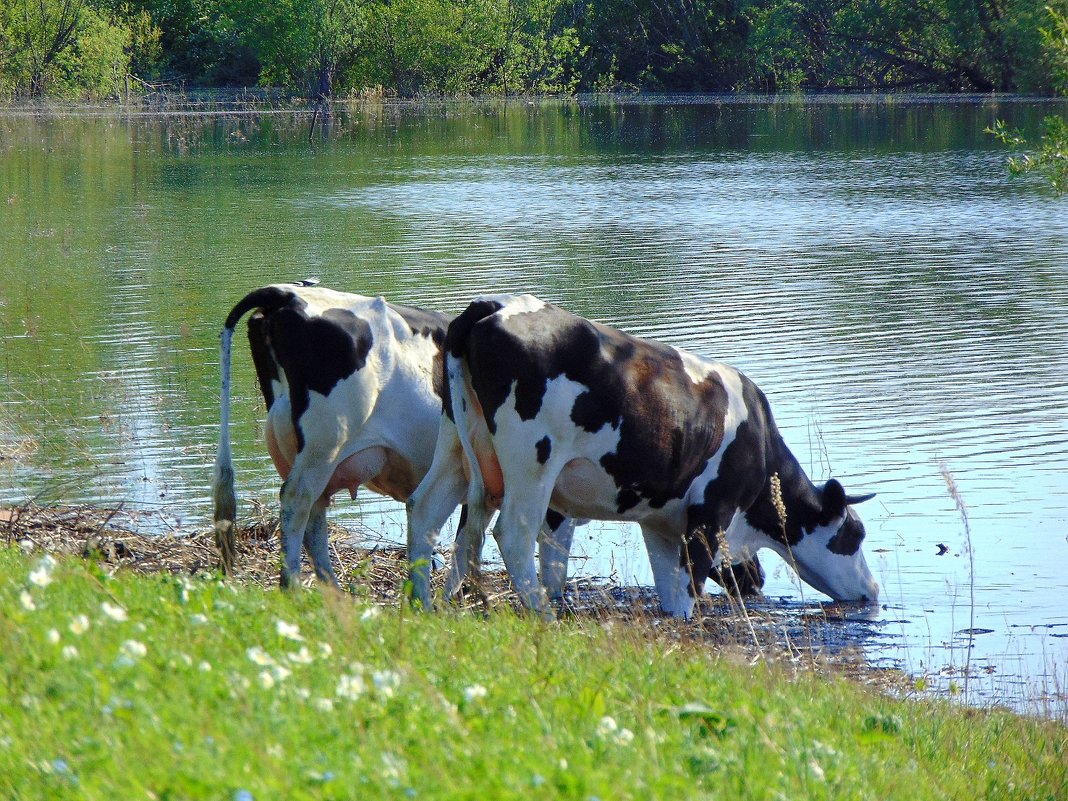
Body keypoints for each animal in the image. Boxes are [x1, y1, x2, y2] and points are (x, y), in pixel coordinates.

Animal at [403, 294, 880, 619]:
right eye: (855, 534)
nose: (873, 590)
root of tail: (494, 305)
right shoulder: (709, 515)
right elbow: (689, 589)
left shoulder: (660, 525)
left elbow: (670, 592)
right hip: (531, 464)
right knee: (514, 532)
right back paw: (543, 615)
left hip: (456, 447)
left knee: (427, 511)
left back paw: (424, 604)